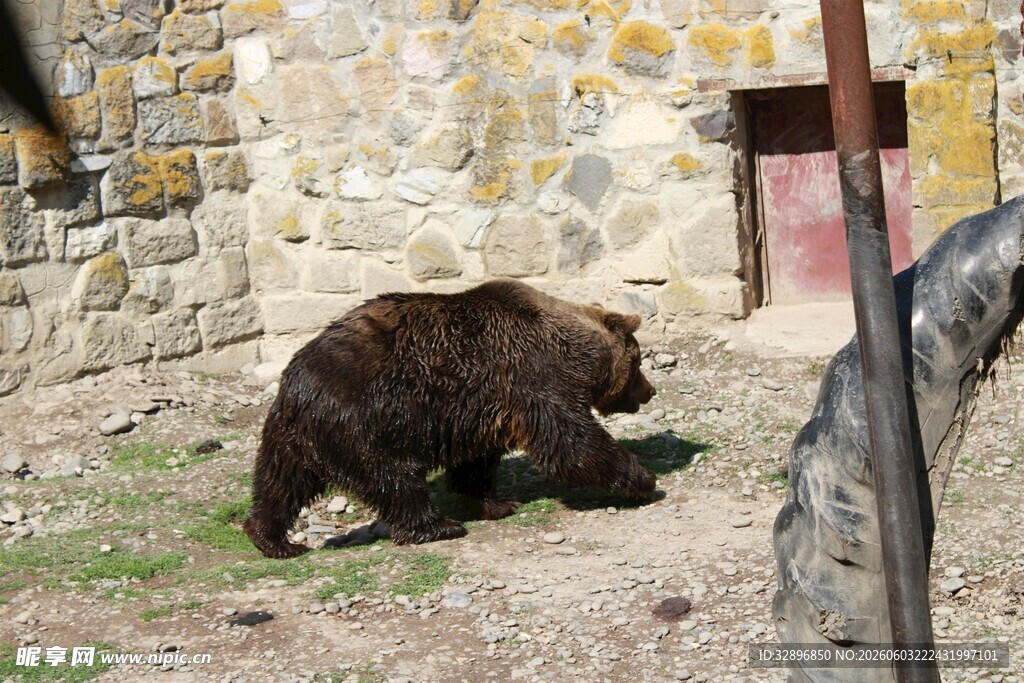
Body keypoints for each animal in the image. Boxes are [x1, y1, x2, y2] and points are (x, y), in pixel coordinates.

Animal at [243, 279, 657, 558]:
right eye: (638, 362)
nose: (650, 391)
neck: (573, 351)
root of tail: (298, 382)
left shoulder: (485, 407)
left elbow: (475, 465)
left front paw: (498, 503)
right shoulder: (534, 377)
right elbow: (570, 444)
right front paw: (643, 479)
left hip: (292, 431)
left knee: (280, 481)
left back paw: (272, 538)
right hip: (362, 418)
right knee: (392, 475)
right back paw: (438, 526)